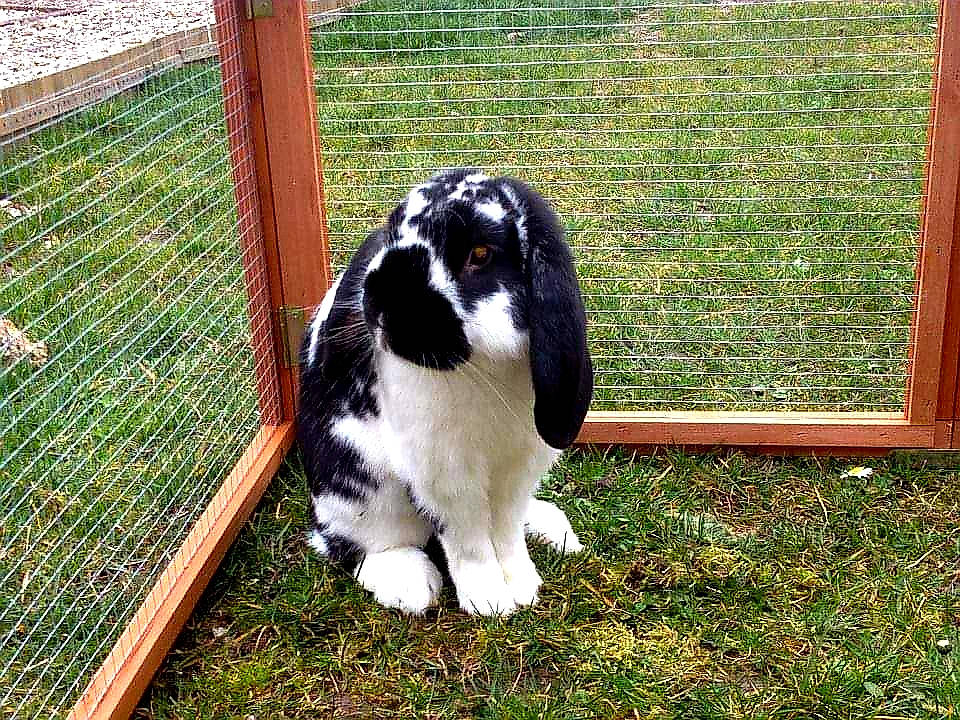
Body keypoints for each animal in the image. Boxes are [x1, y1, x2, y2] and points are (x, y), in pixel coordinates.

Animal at [297, 169, 593, 616]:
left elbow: (506, 528)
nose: (381, 307)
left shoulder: (521, 463)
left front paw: (523, 586)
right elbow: (468, 539)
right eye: (393, 233)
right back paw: (408, 583)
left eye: (480, 254)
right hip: (357, 484)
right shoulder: (444, 470)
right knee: (356, 545)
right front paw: (490, 602)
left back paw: (550, 527)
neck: (483, 367)